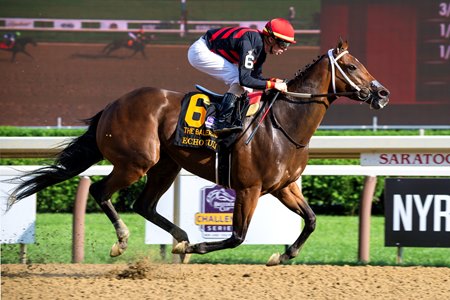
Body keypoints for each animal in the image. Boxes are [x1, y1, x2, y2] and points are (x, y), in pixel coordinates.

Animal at [7, 39, 390, 264]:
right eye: (352, 66)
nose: (382, 93)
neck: (284, 123)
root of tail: (114, 104)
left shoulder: (284, 186)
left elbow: (310, 220)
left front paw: (282, 256)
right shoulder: (249, 188)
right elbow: (236, 237)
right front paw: (196, 249)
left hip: (166, 166)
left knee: (144, 204)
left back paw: (179, 238)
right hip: (136, 162)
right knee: (102, 191)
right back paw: (126, 241)